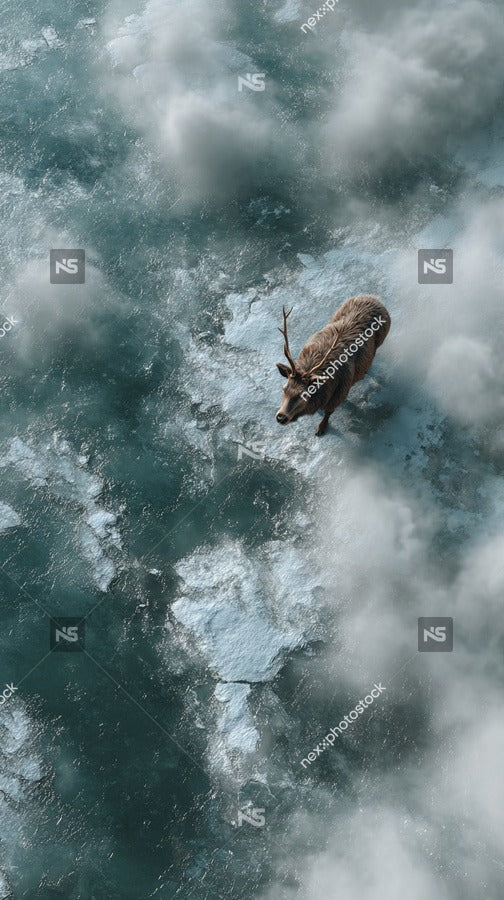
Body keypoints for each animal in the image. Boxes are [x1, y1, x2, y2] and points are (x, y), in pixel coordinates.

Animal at [275, 295, 391, 436]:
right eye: (284, 388)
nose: (281, 417)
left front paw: (321, 428)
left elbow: (329, 412)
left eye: (304, 395)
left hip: (380, 341)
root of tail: (374, 298)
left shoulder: (340, 393)